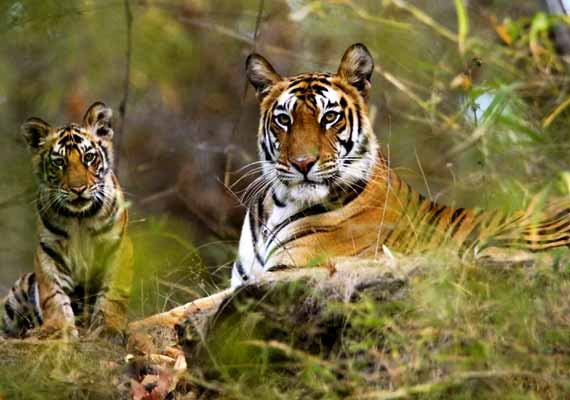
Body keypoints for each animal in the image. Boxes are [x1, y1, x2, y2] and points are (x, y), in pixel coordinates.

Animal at [2, 102, 133, 338]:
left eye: (88, 158)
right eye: (59, 162)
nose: (78, 189)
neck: (79, 217)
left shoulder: (118, 247)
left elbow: (113, 295)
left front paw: (108, 328)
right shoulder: (48, 251)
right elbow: (53, 296)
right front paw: (58, 328)